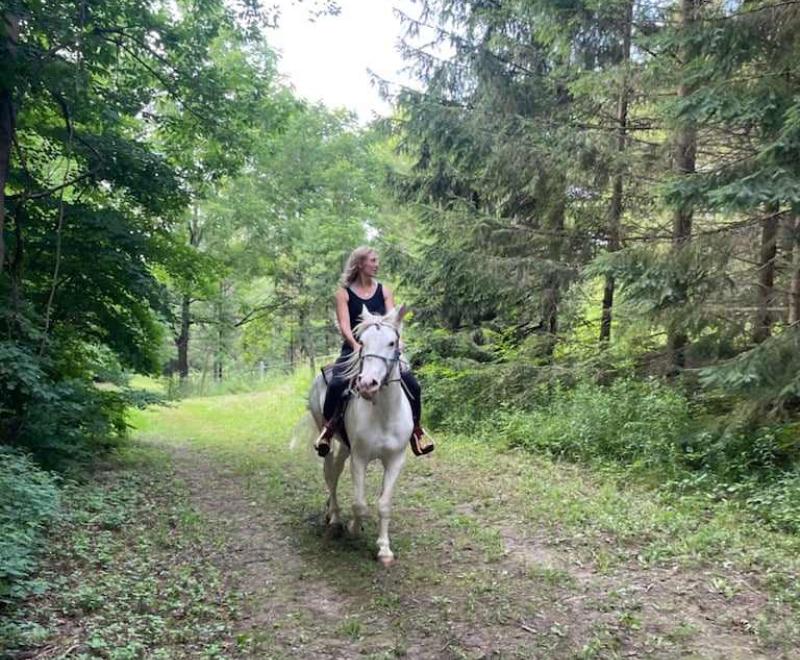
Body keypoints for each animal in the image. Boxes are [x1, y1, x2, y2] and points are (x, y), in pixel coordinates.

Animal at [308, 306, 412, 568]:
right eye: (362, 342)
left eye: (392, 342)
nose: (367, 384)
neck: (383, 413)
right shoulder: (360, 459)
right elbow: (360, 504)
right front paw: (354, 527)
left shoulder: (395, 460)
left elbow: (384, 504)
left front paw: (384, 550)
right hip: (327, 439)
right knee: (330, 474)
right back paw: (334, 517)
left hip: (346, 447)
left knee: (335, 470)